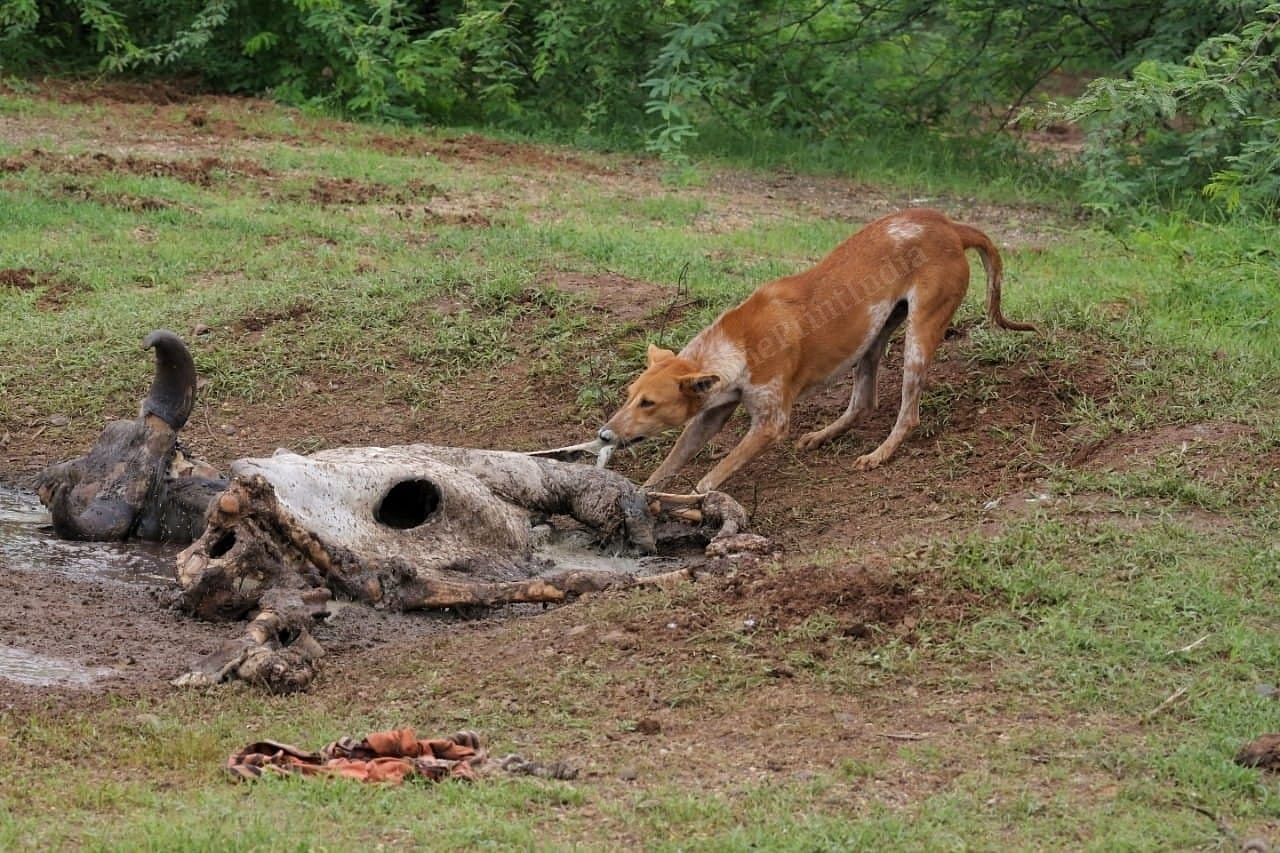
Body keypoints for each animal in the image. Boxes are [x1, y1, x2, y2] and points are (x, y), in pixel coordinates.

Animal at [599, 204, 1039, 491]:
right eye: (629, 395)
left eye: (649, 403)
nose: (603, 436)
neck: (736, 345)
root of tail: (950, 226)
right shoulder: (710, 414)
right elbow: (671, 462)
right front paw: (640, 495)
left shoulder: (771, 423)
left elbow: (709, 479)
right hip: (874, 337)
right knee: (863, 402)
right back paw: (825, 435)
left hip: (919, 337)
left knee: (908, 415)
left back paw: (881, 453)